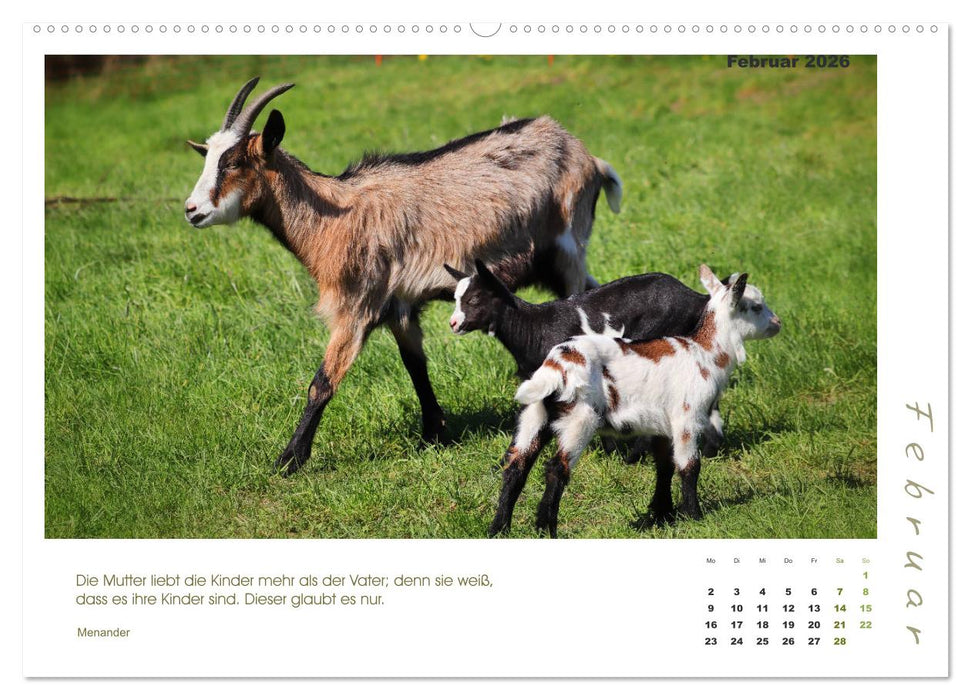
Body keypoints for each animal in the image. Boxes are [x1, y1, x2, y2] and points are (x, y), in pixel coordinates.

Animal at [184, 77, 622, 473]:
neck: (334, 218)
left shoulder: (357, 306)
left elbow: (321, 383)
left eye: (234, 162)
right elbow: (415, 366)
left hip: (569, 248)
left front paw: (289, 460)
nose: (191, 210)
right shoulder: (400, 306)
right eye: (206, 158)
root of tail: (588, 157)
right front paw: (434, 433)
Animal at [444, 259, 759, 455]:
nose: (453, 323)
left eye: (474, 299)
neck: (533, 327)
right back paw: (710, 448)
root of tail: (696, 298)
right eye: (456, 299)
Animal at [489, 264, 781, 538]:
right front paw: (694, 516)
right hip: (580, 418)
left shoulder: (662, 425)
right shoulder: (687, 417)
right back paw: (546, 528)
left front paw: (662, 514)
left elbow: (664, 466)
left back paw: (499, 529)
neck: (705, 354)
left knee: (516, 467)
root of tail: (558, 363)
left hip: (534, 413)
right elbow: (689, 466)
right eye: (756, 306)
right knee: (556, 469)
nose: (778, 322)